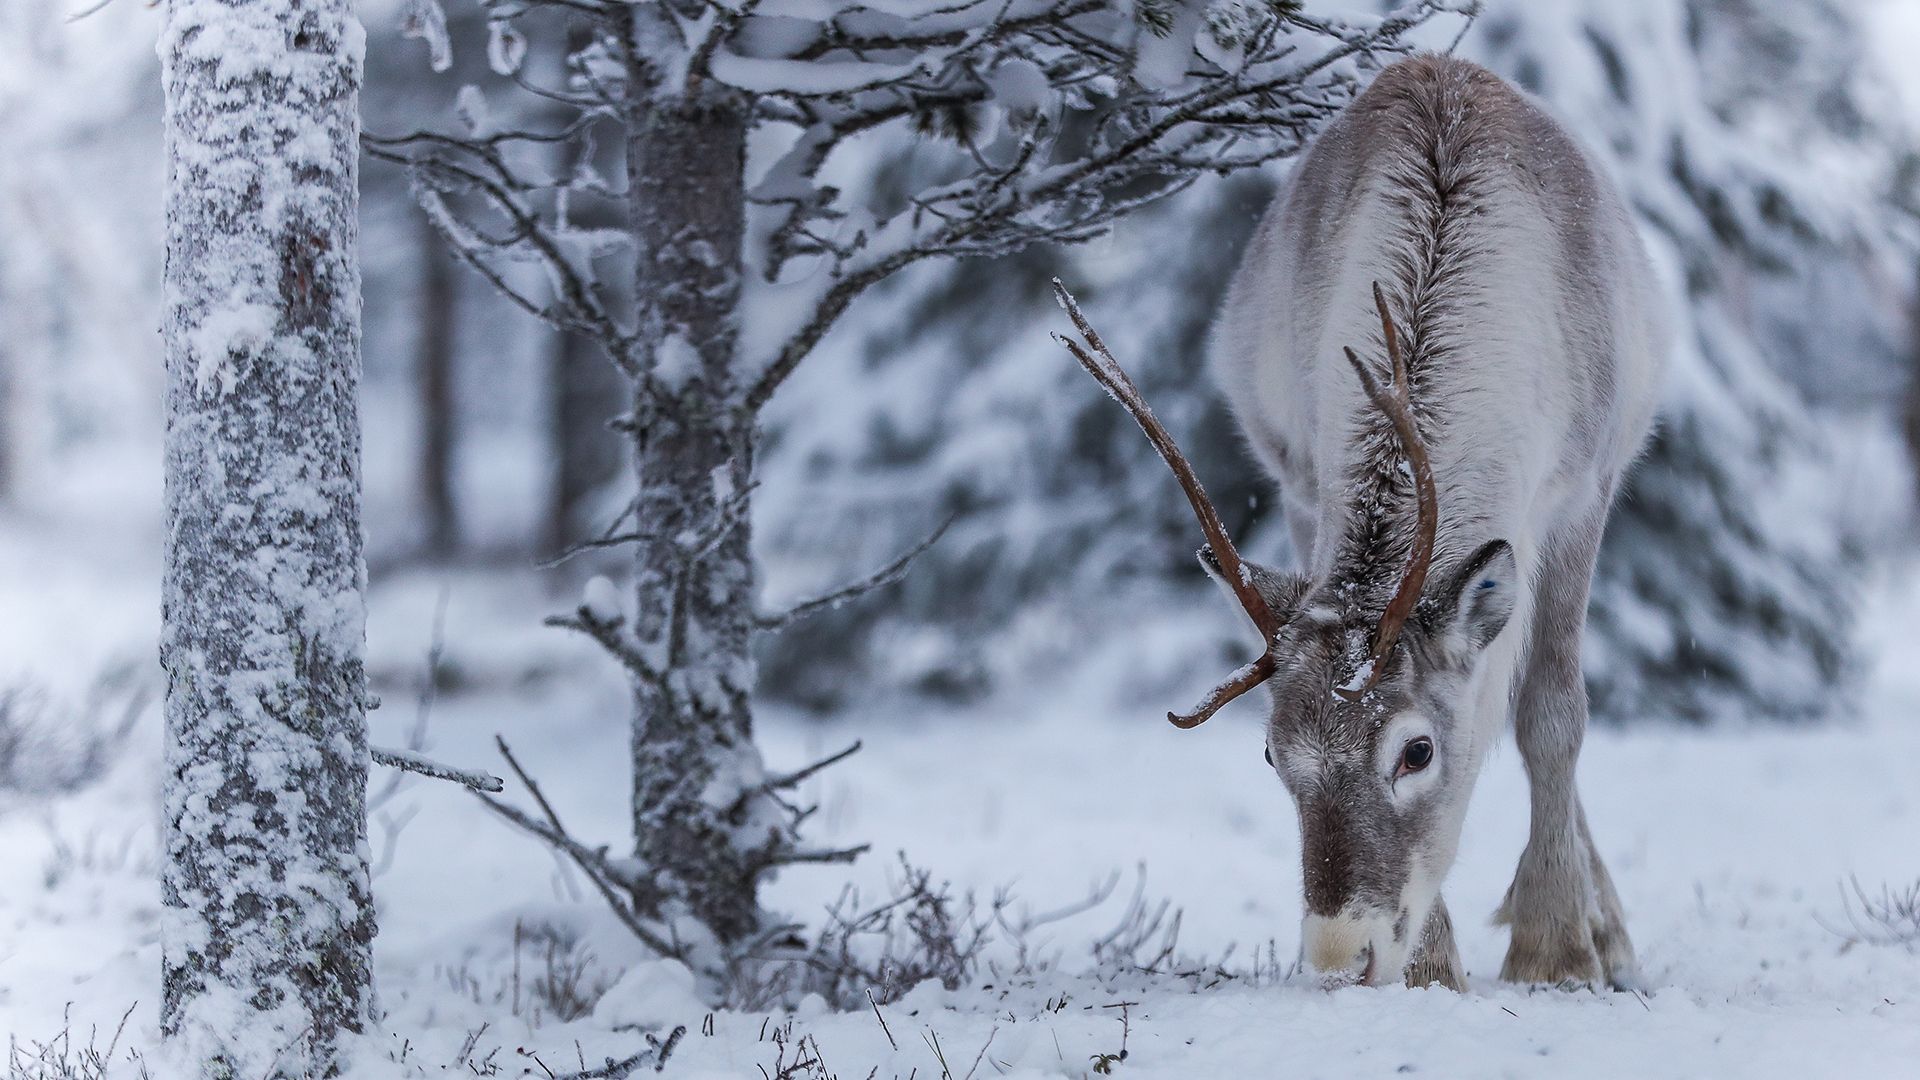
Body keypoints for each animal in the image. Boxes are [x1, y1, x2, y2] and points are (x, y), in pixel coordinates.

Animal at [1053, 54, 1665, 991]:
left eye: (1416, 751)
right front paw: (1435, 971)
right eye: (1274, 754)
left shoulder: (1580, 490)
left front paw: (1556, 951)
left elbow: (1552, 714)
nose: (1343, 957)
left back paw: (1608, 933)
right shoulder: (1307, 485)